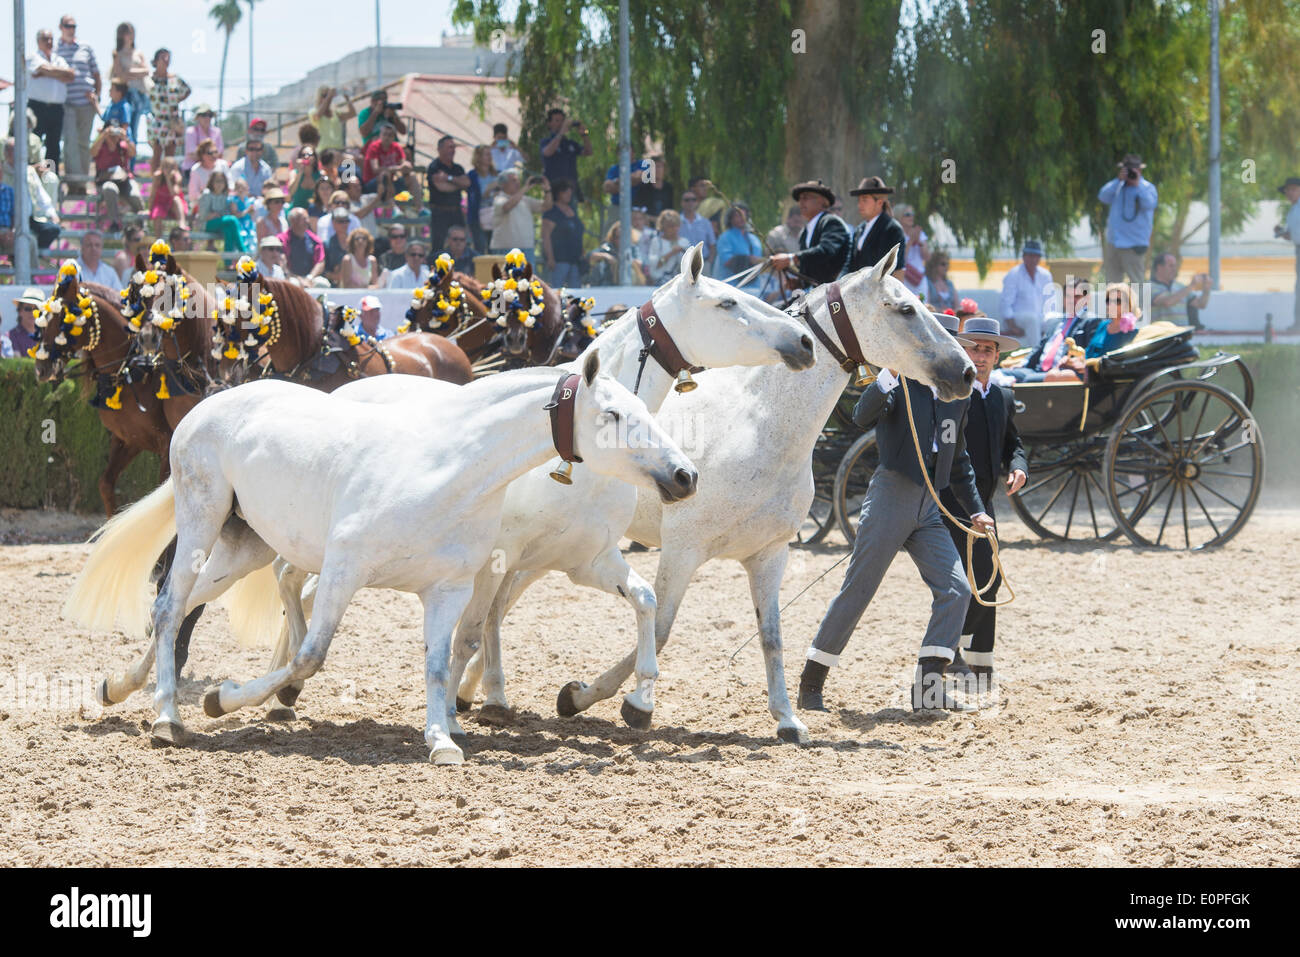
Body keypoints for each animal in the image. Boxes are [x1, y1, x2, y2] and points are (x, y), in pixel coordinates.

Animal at [65, 351, 696, 764]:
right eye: (613, 416)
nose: (684, 475)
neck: (447, 467)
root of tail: (202, 409)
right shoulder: (344, 570)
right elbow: (309, 657)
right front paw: (225, 699)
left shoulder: (449, 588)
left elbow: (440, 661)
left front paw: (442, 741)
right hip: (203, 518)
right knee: (172, 605)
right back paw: (167, 718)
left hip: (248, 543)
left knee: (176, 609)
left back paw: (117, 688)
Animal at [248, 243, 811, 738]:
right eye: (727, 302)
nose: (803, 341)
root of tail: (347, 386)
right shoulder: (495, 559)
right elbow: (468, 634)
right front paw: (452, 716)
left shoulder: (584, 559)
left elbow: (645, 603)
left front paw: (638, 701)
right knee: (288, 579)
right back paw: (282, 689)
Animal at [462, 244, 977, 738]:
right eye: (906, 309)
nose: (967, 372)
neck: (756, 426)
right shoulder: (682, 549)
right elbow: (661, 628)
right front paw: (608, 700)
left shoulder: (770, 555)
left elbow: (771, 637)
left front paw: (787, 720)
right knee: (494, 607)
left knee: (497, 607)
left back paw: (476, 691)